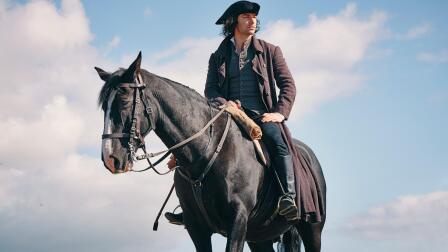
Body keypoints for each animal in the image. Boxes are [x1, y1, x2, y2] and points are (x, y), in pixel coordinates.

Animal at [95, 52, 326, 251]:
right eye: (104, 106)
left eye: (124, 100)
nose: (109, 158)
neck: (207, 151)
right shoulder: (197, 228)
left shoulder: (238, 220)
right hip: (260, 237)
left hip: (312, 229)